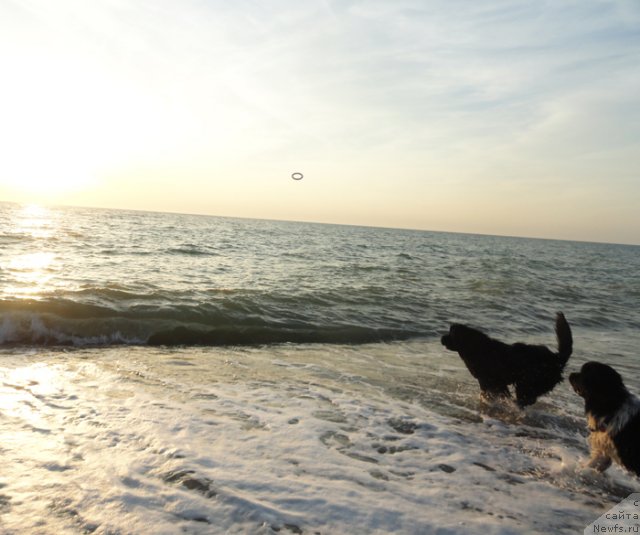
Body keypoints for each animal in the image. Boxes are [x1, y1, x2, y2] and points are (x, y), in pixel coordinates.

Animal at [442, 312, 572, 408]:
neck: (474, 347)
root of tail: (557, 359)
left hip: (528, 381)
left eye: (451, 334)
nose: (441, 338)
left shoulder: (489, 380)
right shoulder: (492, 382)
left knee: (526, 398)